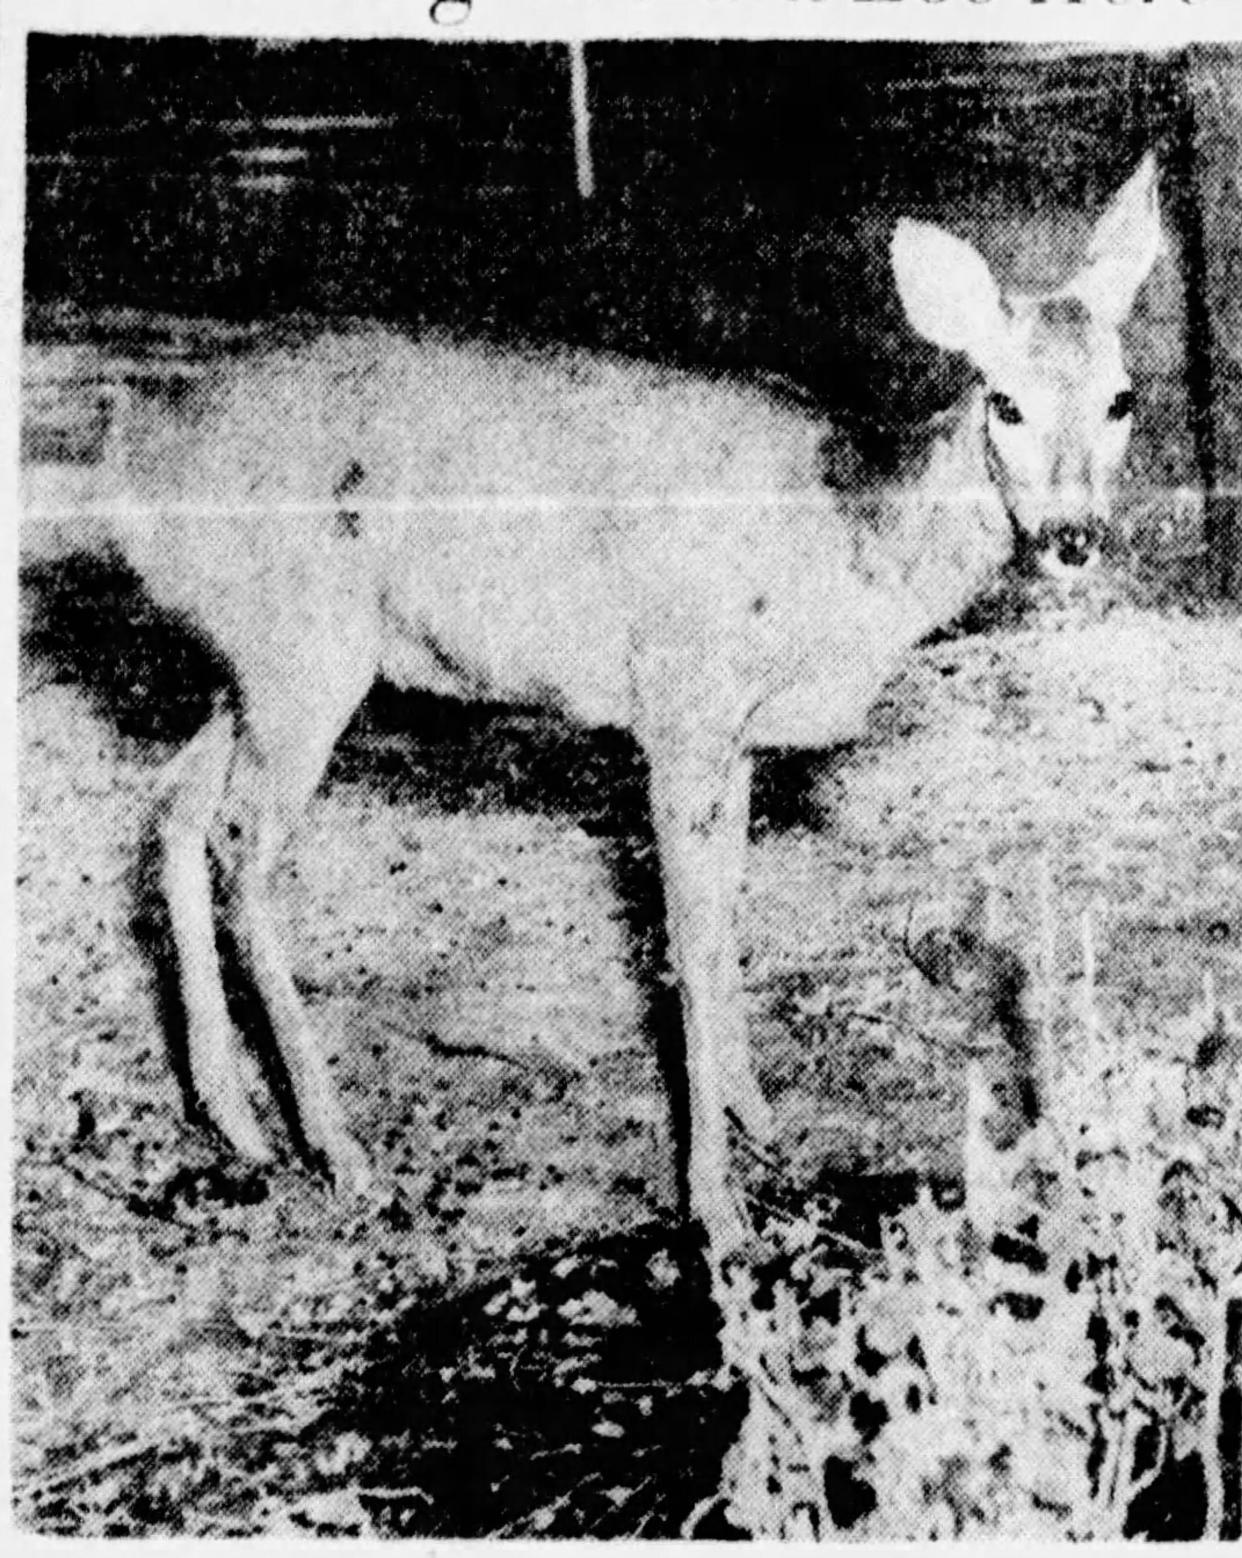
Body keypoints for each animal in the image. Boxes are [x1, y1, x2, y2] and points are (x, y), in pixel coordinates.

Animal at [31, 151, 1165, 1258]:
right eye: (1004, 402)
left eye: (1122, 398)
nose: (1073, 538)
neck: (847, 552)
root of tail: (133, 460)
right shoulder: (680, 700)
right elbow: (685, 946)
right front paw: (716, 1204)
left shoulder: (735, 736)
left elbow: (727, 916)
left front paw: (762, 1121)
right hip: (307, 646)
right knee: (240, 841)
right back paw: (342, 1151)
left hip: (257, 661)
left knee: (173, 805)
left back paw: (234, 1118)